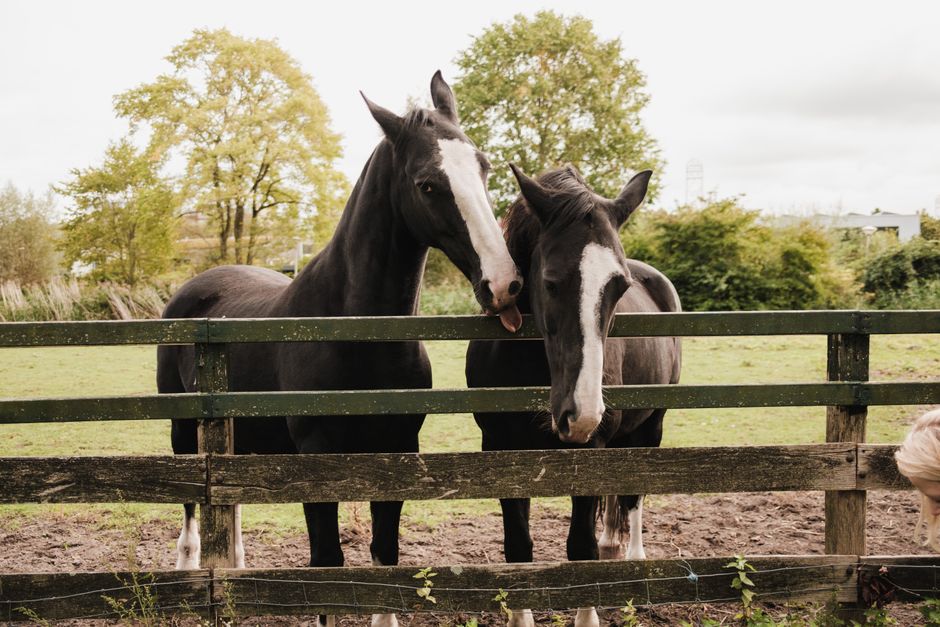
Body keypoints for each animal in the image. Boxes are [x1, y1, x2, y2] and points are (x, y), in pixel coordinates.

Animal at [158, 72, 523, 627]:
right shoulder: (316, 457)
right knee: (191, 507)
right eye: (428, 184)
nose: (503, 283)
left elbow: (384, 555)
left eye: (482, 167)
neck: (357, 333)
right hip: (183, 431)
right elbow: (326, 565)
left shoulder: (397, 448)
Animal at [466, 164, 681, 627]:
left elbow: (580, 548)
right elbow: (518, 548)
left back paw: (633, 560)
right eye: (549, 282)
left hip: (652, 425)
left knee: (634, 496)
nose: (580, 414)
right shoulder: (499, 449)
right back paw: (613, 545)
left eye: (620, 286)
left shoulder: (592, 447)